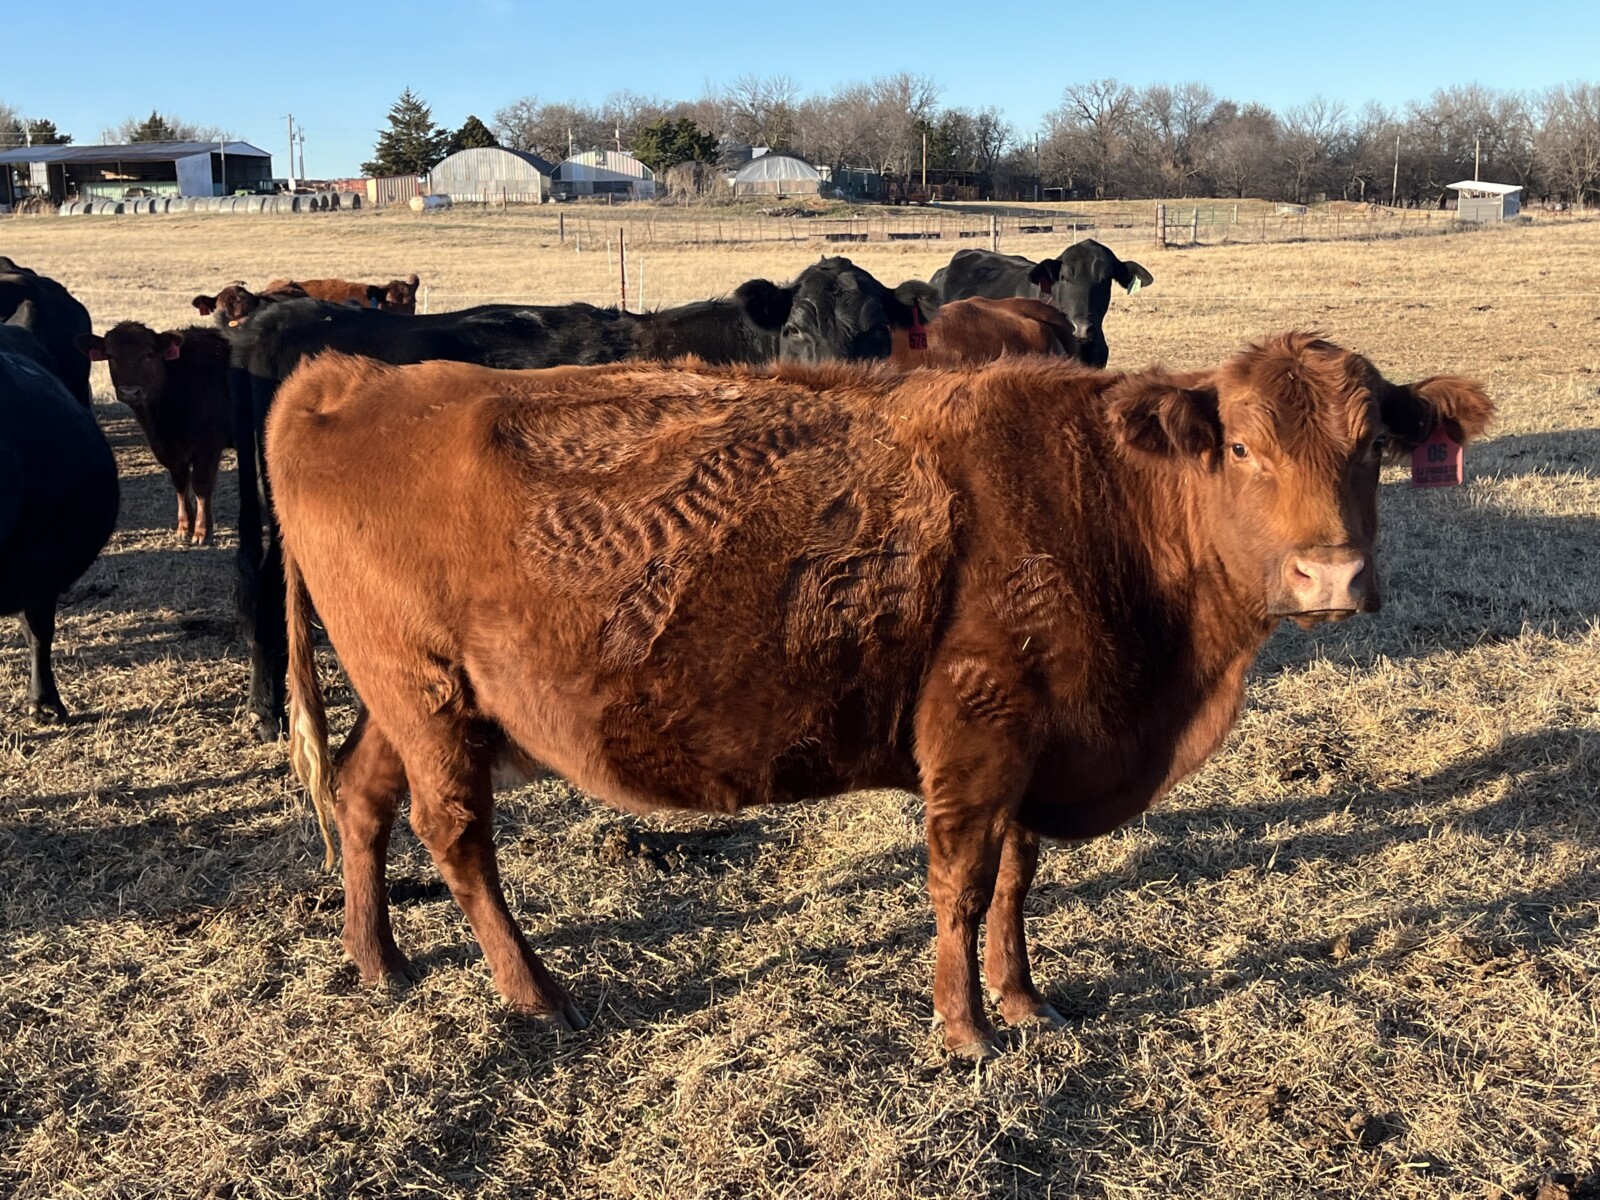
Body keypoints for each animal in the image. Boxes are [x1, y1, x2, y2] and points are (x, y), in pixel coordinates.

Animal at [75, 322, 234, 545]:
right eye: (110, 355)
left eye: (149, 354)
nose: (130, 392)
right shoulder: (169, 450)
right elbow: (180, 484)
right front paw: (184, 528)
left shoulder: (208, 447)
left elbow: (201, 485)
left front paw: (202, 532)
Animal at [267, 333, 1493, 1058]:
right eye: (1240, 445)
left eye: (1374, 442)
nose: (1331, 576)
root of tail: (349, 377)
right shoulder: (976, 735)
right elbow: (960, 886)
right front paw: (966, 1031)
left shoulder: (1038, 743)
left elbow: (1016, 883)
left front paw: (1023, 999)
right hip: (428, 695)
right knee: (455, 834)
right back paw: (534, 993)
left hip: (416, 702)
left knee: (366, 801)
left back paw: (379, 959)